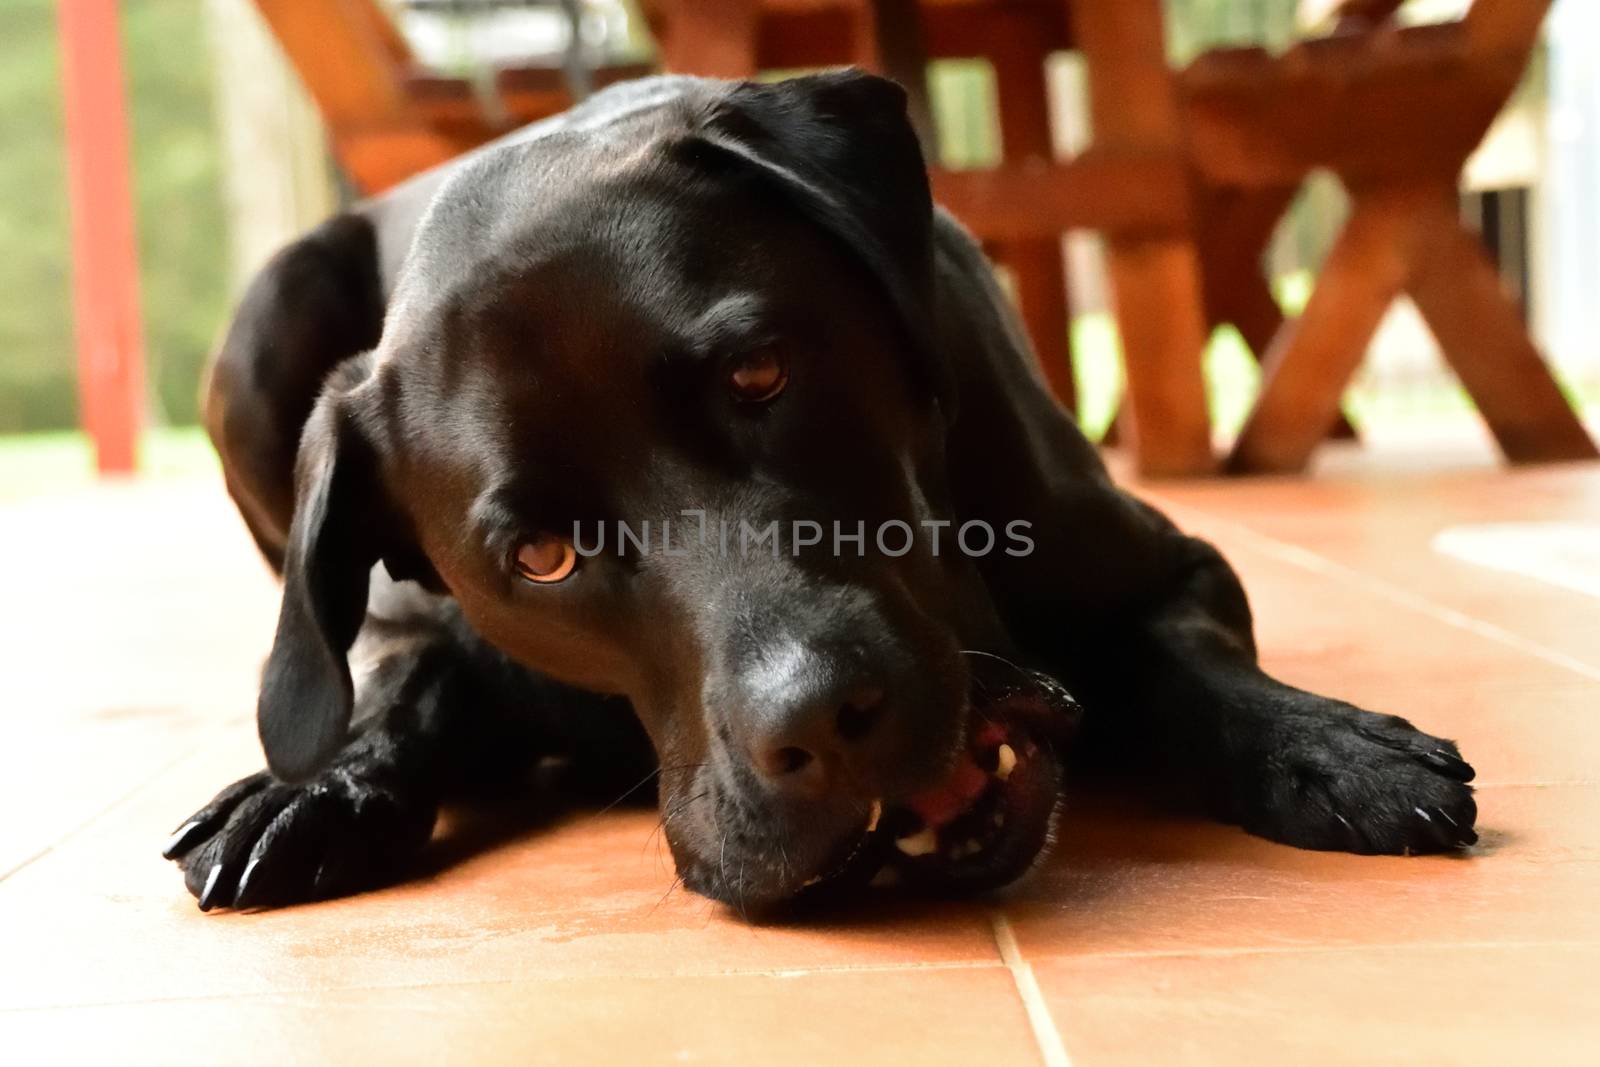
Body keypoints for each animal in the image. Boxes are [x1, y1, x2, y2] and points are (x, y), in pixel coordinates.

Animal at [162, 70, 1472, 915]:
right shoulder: (428, 632)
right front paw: (312, 786)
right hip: (261, 325)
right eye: (538, 555)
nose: (821, 721)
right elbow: (402, 685)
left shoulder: (1170, 562)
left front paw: (1327, 745)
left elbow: (1189, 659)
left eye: (760, 371)